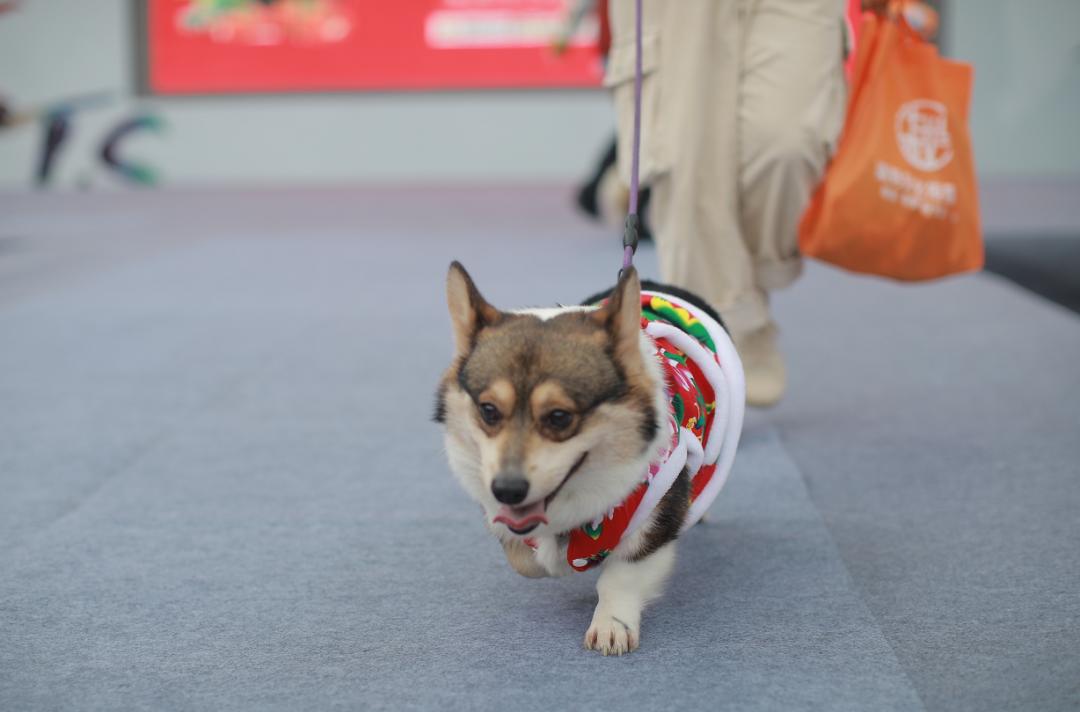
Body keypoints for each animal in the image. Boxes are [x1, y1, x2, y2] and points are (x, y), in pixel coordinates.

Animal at [432, 263, 743, 656]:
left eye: (559, 417)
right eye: (488, 411)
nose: (507, 490)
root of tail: (660, 286)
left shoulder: (654, 522)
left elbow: (621, 576)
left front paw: (612, 625)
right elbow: (525, 558)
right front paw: (555, 558)